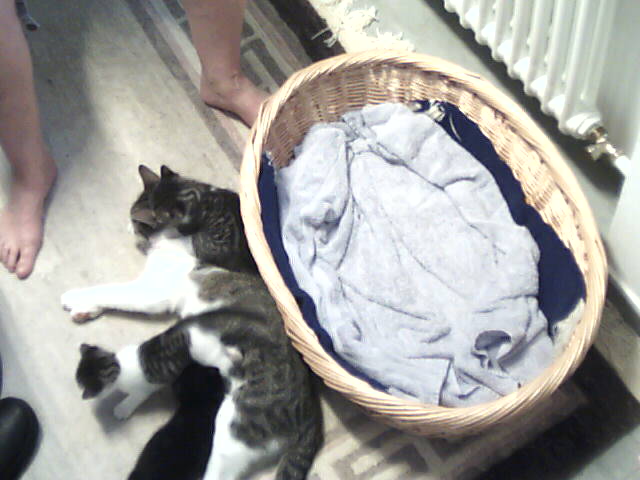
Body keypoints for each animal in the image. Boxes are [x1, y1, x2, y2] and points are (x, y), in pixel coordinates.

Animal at [67, 165, 323, 480]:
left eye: (136, 220)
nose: (127, 226)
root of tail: (311, 413)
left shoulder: (152, 292)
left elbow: (112, 291)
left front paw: (74, 297)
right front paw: (85, 310)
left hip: (234, 426)